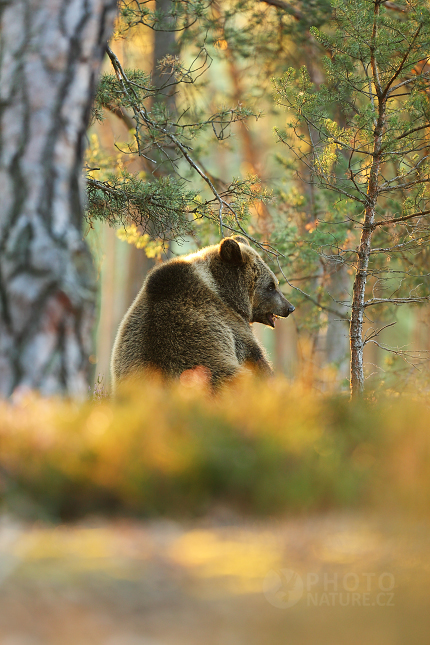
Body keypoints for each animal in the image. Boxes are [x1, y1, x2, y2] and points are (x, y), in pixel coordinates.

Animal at [109, 235, 294, 390]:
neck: (226, 294)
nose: (289, 307)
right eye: (271, 286)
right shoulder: (233, 328)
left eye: (275, 284)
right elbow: (256, 358)